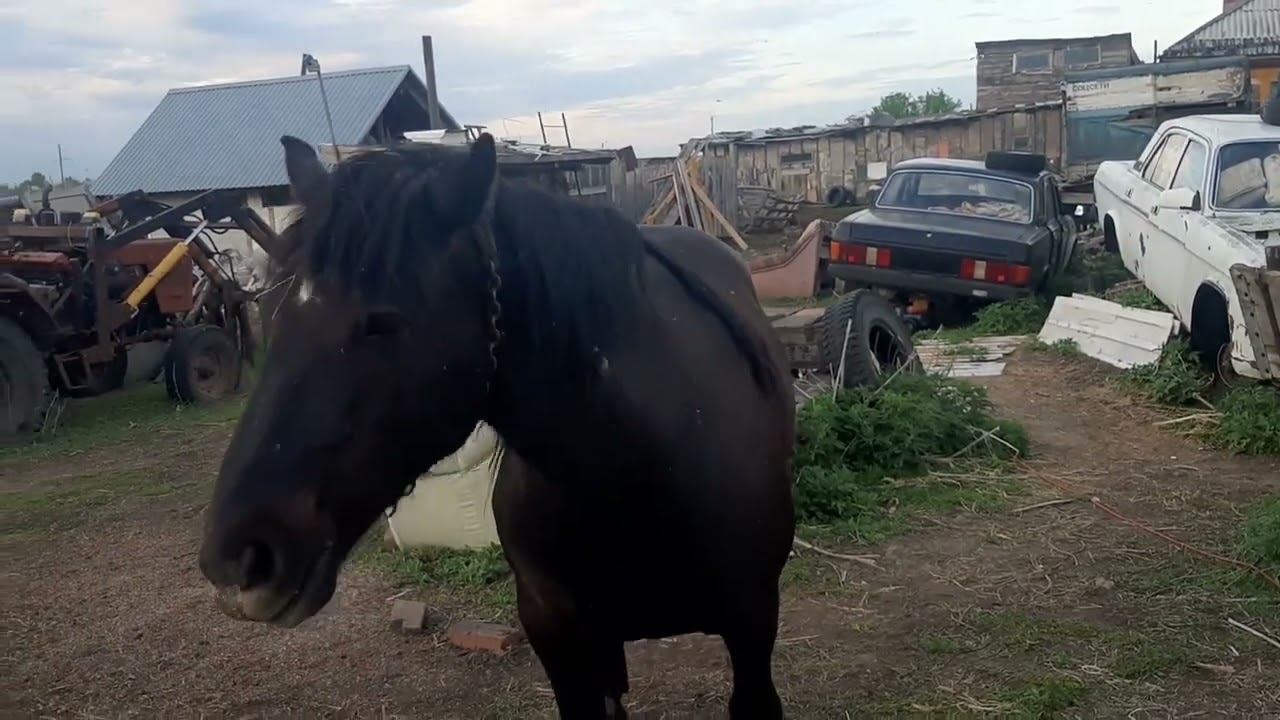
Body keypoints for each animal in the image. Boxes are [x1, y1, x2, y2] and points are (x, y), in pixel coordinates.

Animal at [197, 133, 797, 719]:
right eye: (268, 309)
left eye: (384, 322)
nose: (240, 558)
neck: (645, 470)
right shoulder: (558, 638)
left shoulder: (752, 628)